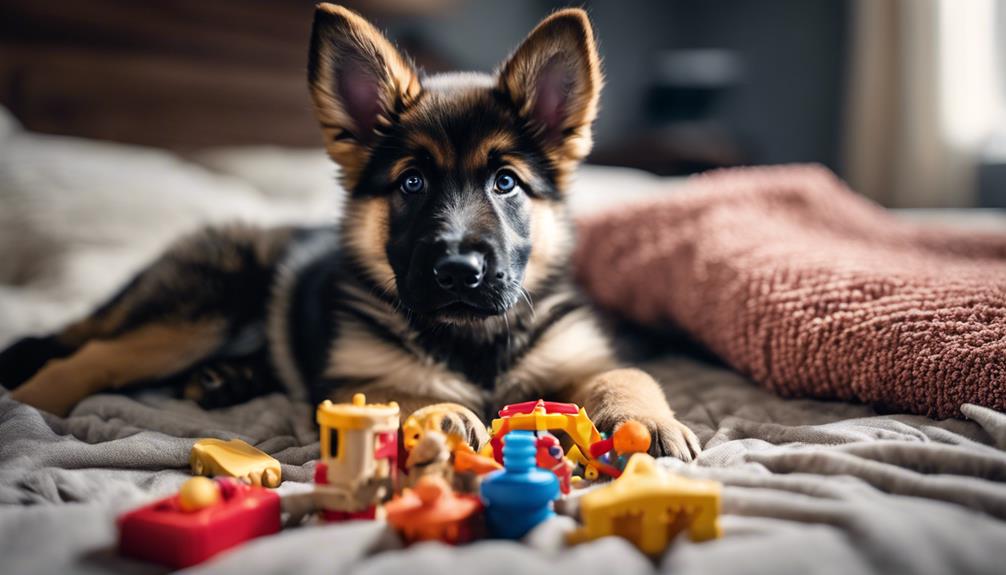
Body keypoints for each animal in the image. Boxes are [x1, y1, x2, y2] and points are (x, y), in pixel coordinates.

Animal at [1, 4, 700, 460]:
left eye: (505, 182)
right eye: (411, 183)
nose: (458, 272)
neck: (469, 338)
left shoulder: (581, 355)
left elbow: (628, 376)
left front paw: (646, 421)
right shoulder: (352, 379)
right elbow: (396, 394)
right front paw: (444, 413)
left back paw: (226, 379)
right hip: (205, 302)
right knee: (91, 354)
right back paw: (28, 404)